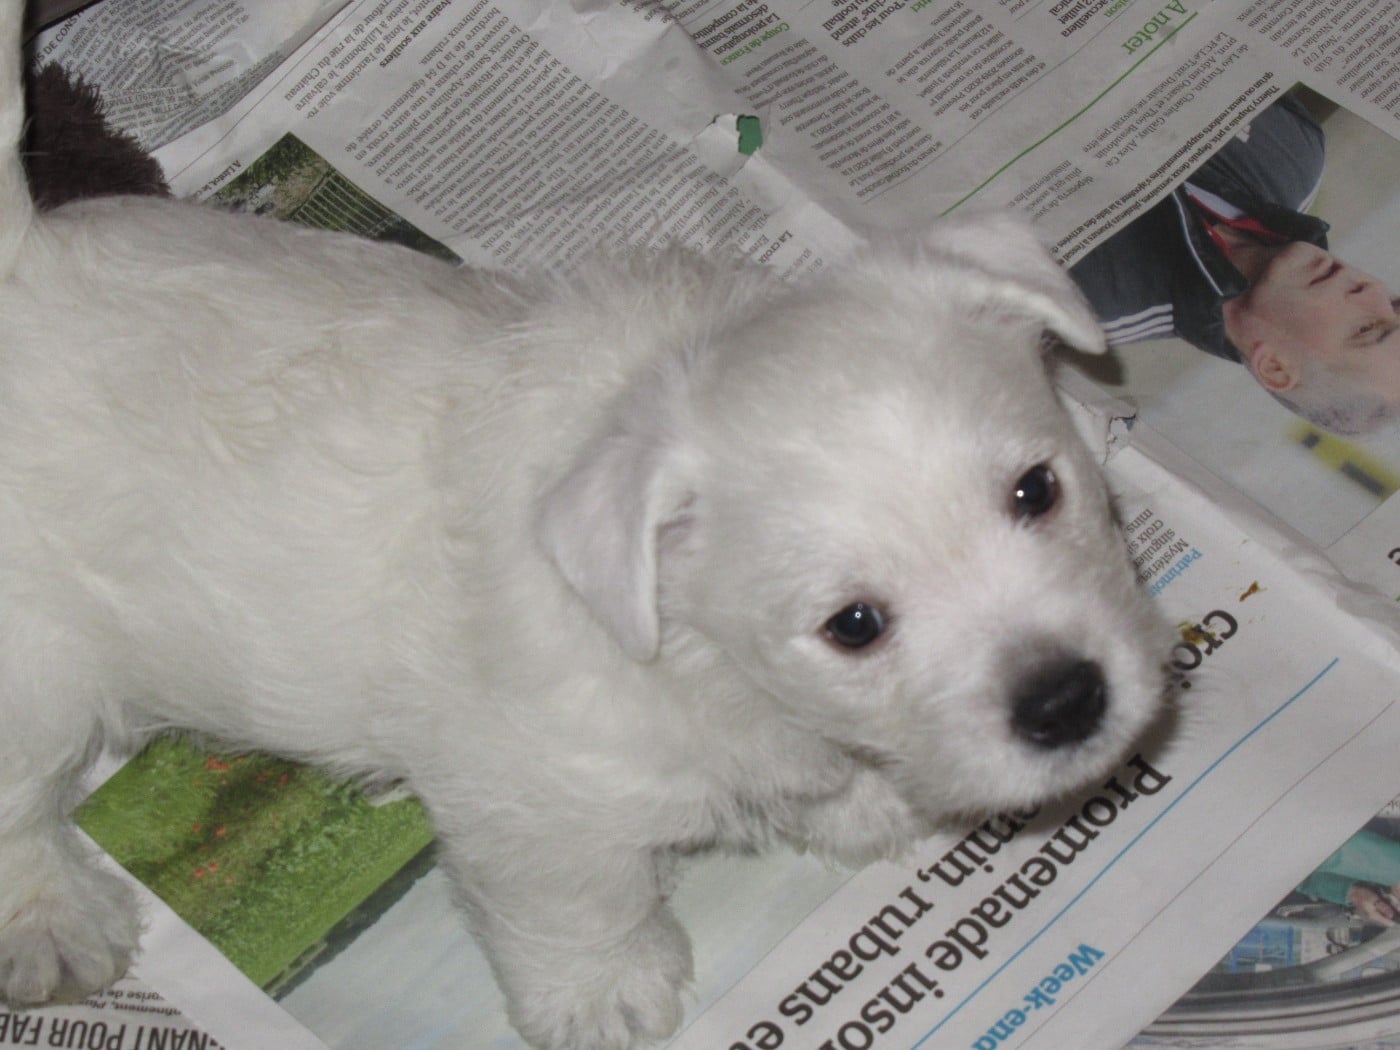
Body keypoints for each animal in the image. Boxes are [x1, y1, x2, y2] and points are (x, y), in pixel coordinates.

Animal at [0, 5, 1168, 1047]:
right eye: (854, 625)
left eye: (1036, 491)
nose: (1067, 702)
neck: (690, 651)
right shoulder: (527, 801)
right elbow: (575, 904)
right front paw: (602, 995)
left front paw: (862, 804)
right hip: (37, 665)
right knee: (16, 800)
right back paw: (57, 924)